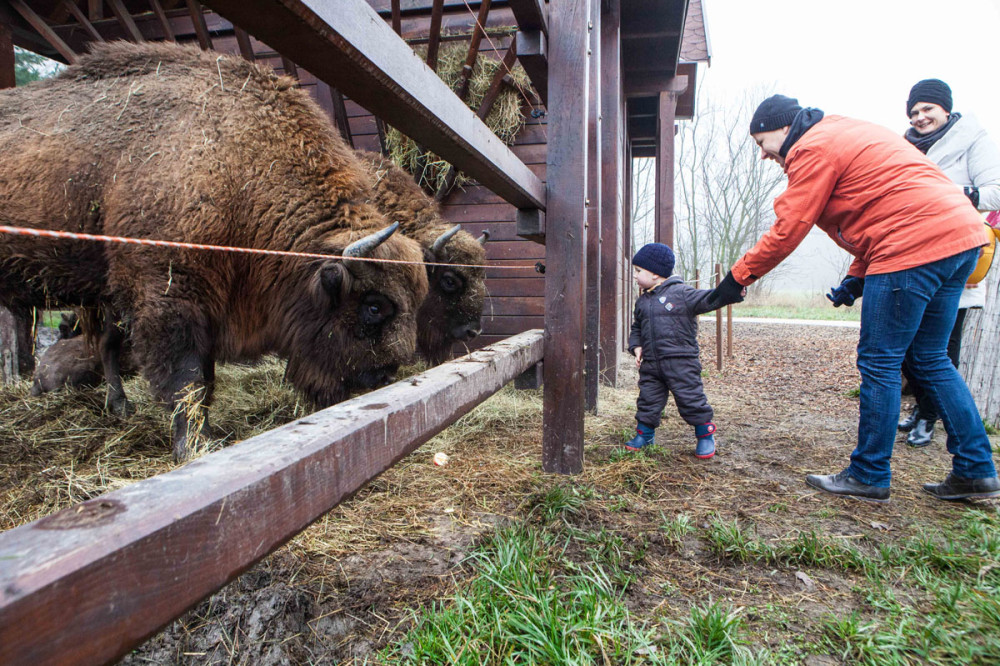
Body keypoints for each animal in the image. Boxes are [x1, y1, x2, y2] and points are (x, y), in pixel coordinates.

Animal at [0, 40, 426, 456]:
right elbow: (185, 380)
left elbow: (203, 380)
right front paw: (195, 447)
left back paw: (119, 407)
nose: (384, 375)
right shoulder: (167, 296)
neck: (239, 170)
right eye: (374, 306)